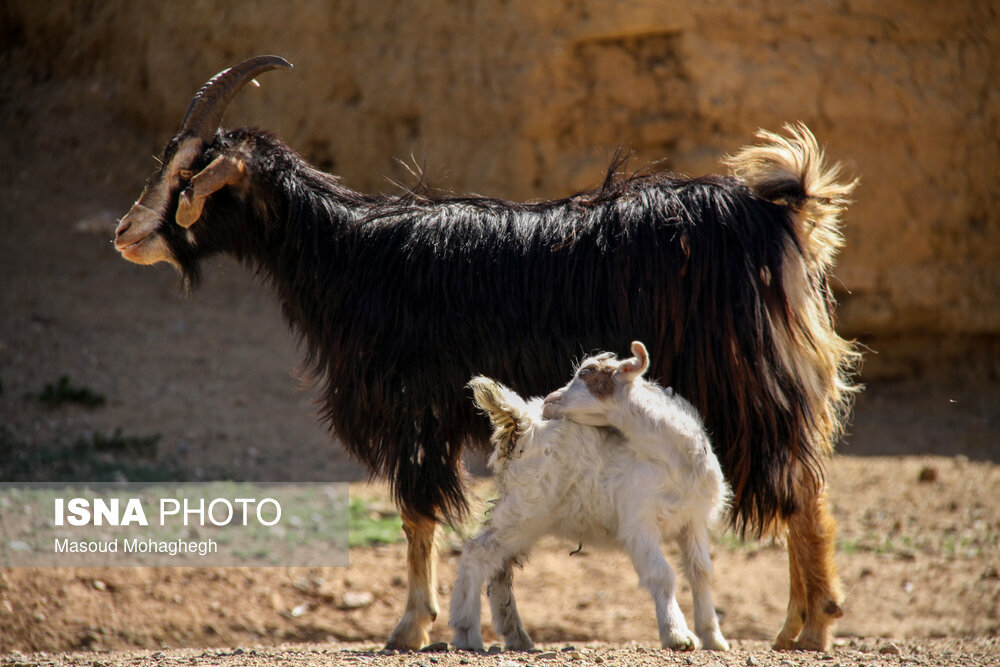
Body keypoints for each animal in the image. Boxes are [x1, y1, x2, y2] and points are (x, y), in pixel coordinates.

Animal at [113, 57, 856, 652]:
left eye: (187, 174)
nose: (125, 232)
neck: (352, 258)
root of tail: (781, 211)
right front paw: (501, 629)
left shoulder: (412, 410)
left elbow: (417, 514)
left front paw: (410, 628)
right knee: (803, 486)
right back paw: (794, 626)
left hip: (749, 382)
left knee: (803, 488)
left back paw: (812, 626)